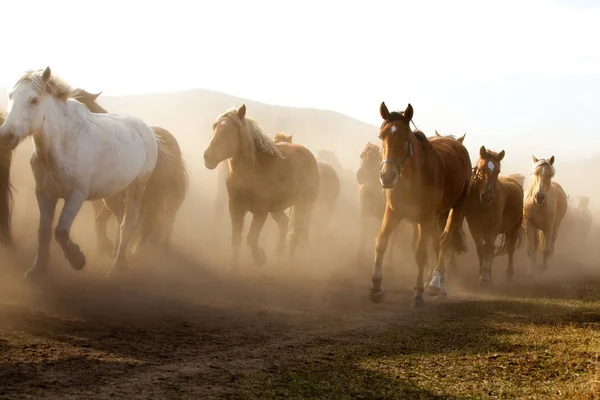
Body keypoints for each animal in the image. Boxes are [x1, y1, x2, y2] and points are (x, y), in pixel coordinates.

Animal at [204, 104, 322, 270]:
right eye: (214, 126)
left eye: (231, 131)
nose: (208, 157)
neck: (252, 172)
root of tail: (309, 156)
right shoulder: (236, 208)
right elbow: (236, 239)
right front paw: (233, 268)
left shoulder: (260, 213)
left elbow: (251, 239)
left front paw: (260, 258)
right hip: (277, 209)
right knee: (284, 224)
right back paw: (278, 254)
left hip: (303, 206)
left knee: (295, 233)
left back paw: (288, 262)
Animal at [370, 103, 474, 306]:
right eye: (381, 136)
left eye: (405, 138)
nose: (387, 176)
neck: (411, 178)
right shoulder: (393, 212)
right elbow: (381, 241)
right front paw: (377, 288)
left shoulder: (425, 218)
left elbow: (421, 253)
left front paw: (418, 292)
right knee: (436, 241)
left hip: (456, 208)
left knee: (444, 239)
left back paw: (436, 281)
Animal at [466, 146, 524, 284]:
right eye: (482, 169)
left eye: (498, 171)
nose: (487, 197)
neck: (482, 206)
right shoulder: (475, 229)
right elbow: (481, 250)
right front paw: (482, 273)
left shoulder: (492, 229)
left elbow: (488, 249)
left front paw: (485, 276)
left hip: (514, 228)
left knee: (510, 249)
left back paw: (509, 275)